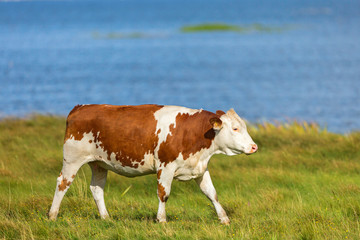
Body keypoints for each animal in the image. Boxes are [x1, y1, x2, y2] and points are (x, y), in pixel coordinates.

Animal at [48, 104, 256, 224]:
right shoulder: (166, 166)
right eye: (235, 128)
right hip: (72, 159)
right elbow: (164, 194)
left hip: (99, 164)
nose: (254, 147)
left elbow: (212, 193)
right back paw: (52, 215)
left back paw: (106, 218)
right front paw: (162, 220)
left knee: (96, 189)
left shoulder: (198, 168)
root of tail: (81, 107)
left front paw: (224, 219)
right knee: (62, 183)